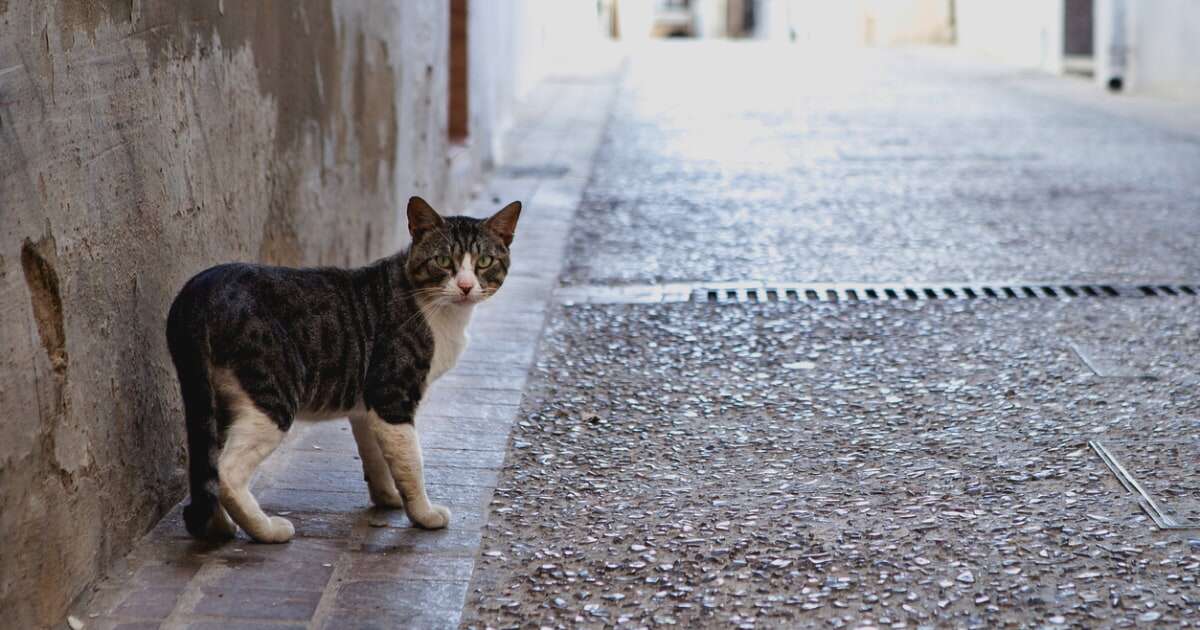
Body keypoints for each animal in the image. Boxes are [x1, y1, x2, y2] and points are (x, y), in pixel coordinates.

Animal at [165, 196, 520, 540]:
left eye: (484, 262)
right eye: (444, 261)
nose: (465, 286)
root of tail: (199, 288)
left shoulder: (367, 404)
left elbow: (377, 456)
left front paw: (389, 497)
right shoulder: (392, 393)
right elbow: (411, 461)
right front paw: (423, 514)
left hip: (213, 399)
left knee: (208, 463)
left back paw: (218, 526)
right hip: (272, 394)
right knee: (227, 471)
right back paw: (267, 530)